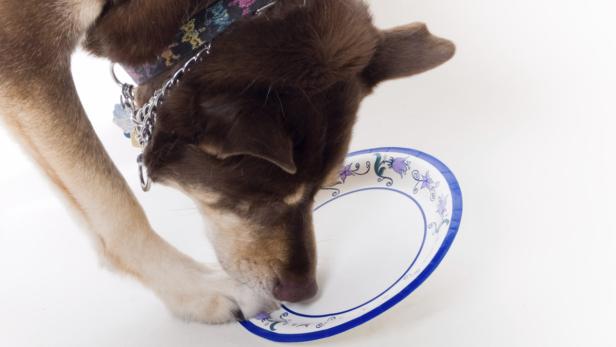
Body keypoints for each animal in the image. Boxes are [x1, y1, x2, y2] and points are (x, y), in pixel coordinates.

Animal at [0, 0, 452, 324]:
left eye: (322, 190)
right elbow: (114, 207)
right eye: (258, 201)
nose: (303, 293)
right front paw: (197, 293)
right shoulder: (24, 53)